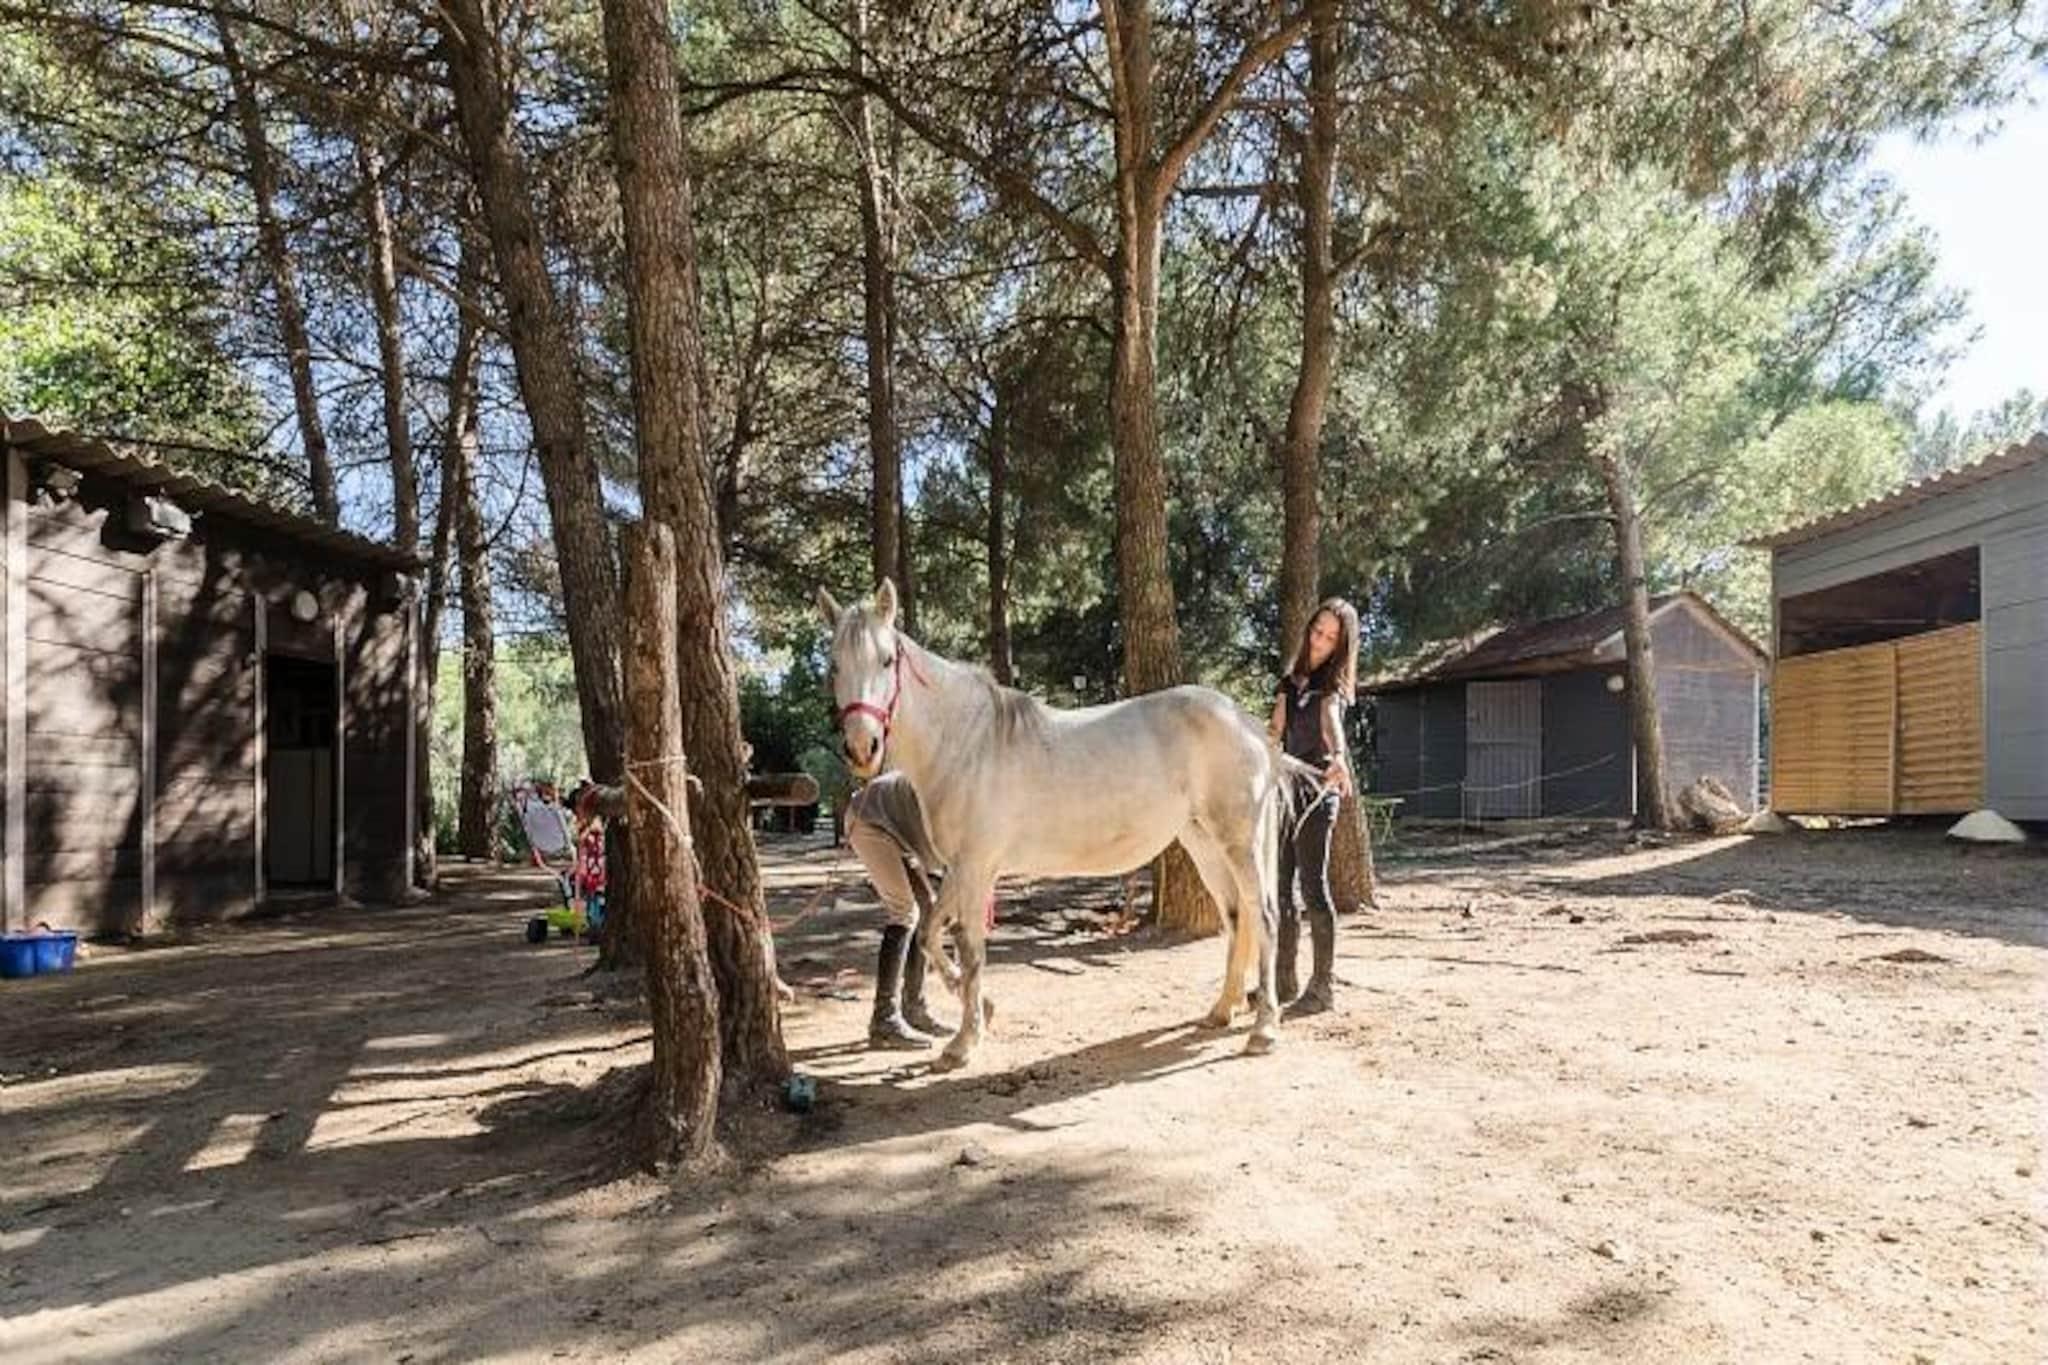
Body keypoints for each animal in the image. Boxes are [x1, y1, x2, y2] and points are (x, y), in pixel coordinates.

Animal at [818, 579, 1303, 1070]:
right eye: (834, 666)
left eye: (887, 660)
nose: (862, 748)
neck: (968, 743)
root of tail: (1247, 724)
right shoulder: (963, 869)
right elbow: (930, 933)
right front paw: (979, 1006)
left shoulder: (975, 868)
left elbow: (969, 947)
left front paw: (963, 1042)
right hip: (1204, 843)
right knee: (1237, 916)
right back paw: (1221, 1011)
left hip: (1239, 843)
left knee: (1264, 916)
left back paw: (1264, 1029)